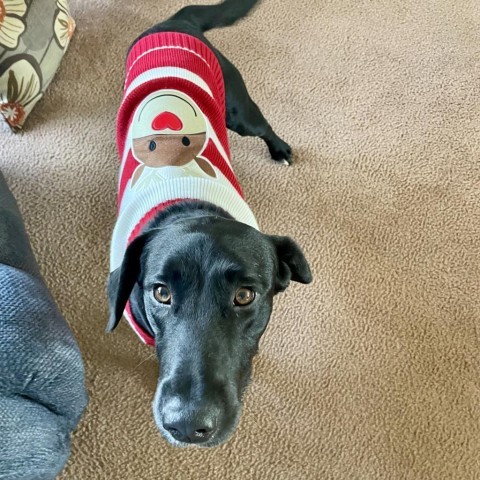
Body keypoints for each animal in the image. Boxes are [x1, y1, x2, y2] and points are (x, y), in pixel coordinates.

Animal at [107, 0, 314, 450]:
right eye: (161, 293)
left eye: (245, 296)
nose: (187, 425)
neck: (188, 205)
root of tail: (177, 19)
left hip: (239, 109)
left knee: (262, 126)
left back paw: (280, 149)